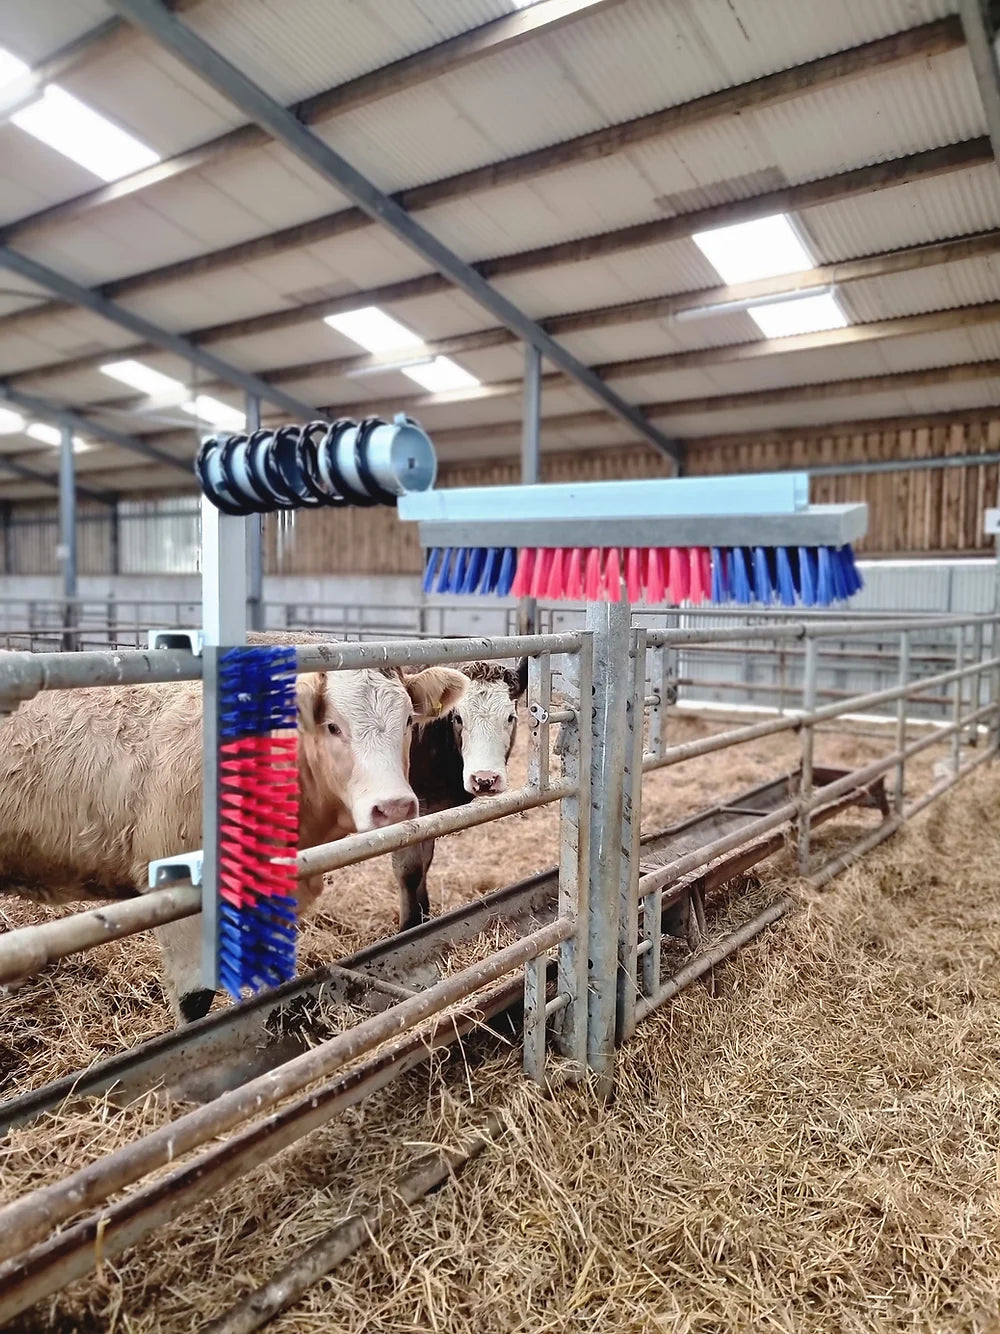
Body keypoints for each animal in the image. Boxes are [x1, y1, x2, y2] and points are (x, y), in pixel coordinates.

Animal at [393, 658, 528, 930]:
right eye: (457, 717)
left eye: (510, 717)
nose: (485, 779)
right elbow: (410, 870)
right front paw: (409, 928)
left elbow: (425, 861)